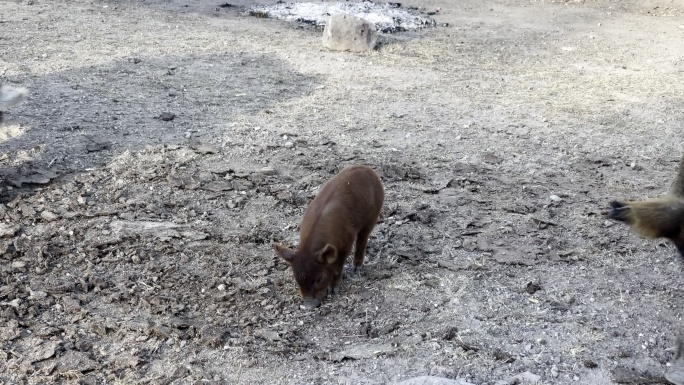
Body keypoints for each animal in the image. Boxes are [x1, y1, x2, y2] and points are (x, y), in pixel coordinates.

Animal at [276, 164, 388, 308]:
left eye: (319, 279)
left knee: (362, 239)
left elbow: (338, 267)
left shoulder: (346, 243)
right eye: (297, 280)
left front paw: (334, 290)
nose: (308, 306)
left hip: (373, 215)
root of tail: (366, 168)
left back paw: (356, 268)